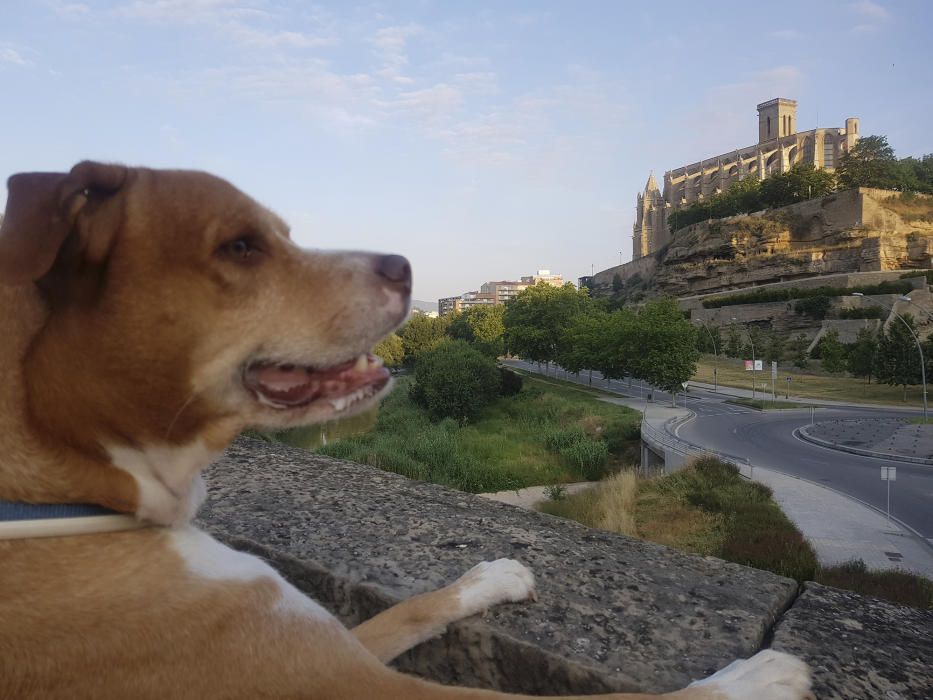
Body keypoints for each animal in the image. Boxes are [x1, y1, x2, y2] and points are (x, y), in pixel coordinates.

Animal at [0, 164, 812, 700]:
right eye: (240, 246)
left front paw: (487, 579)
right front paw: (753, 674)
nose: (403, 264)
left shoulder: (331, 646)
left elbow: (408, 608)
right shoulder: (345, 675)